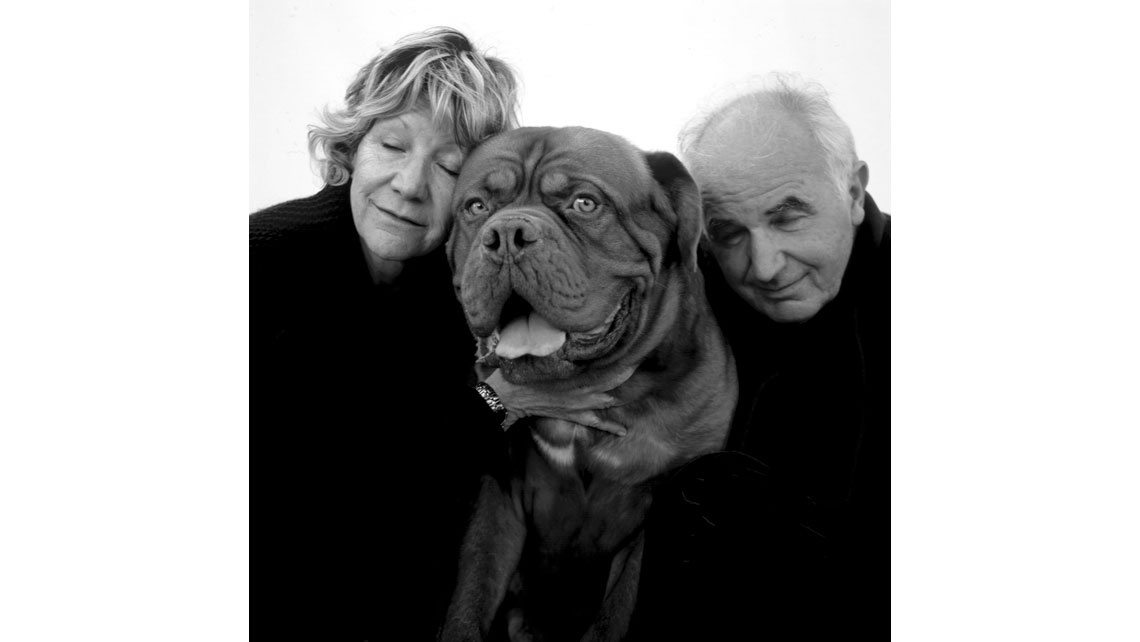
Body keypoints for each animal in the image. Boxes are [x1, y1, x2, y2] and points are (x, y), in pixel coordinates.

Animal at [440, 127, 734, 642]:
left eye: (584, 203)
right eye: (477, 207)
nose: (507, 235)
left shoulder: (650, 518)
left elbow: (615, 615)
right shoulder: (499, 488)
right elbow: (471, 594)